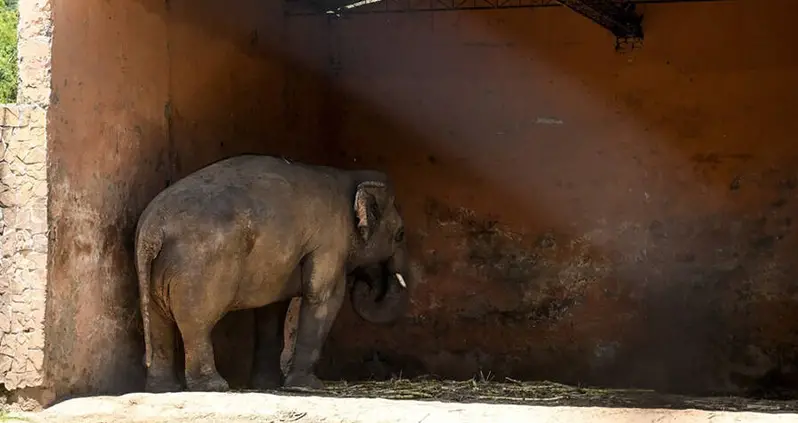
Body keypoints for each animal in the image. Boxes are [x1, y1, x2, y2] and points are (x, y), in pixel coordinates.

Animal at [134, 155, 412, 394]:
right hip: (198, 270)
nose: (366, 283)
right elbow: (323, 296)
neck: (349, 178)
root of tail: (152, 229)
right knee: (197, 322)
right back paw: (214, 386)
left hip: (156, 271)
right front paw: (306, 387)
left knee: (159, 322)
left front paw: (267, 384)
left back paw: (163, 389)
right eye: (400, 235)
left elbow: (272, 309)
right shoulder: (330, 241)